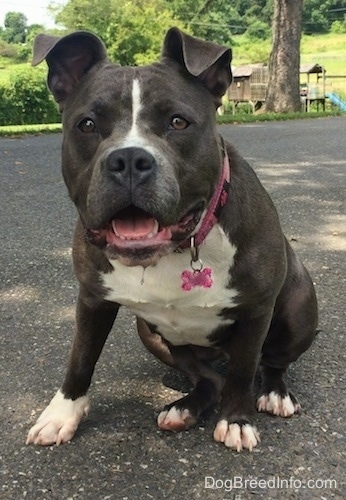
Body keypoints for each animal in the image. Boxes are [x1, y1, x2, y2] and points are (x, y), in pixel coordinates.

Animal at [25, 27, 318, 452]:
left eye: (178, 122)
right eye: (87, 124)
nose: (129, 159)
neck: (177, 249)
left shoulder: (256, 312)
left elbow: (245, 371)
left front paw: (237, 420)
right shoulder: (93, 300)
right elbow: (80, 358)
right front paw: (61, 415)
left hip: (298, 312)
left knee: (269, 363)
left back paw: (275, 393)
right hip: (151, 334)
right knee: (209, 378)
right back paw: (184, 408)